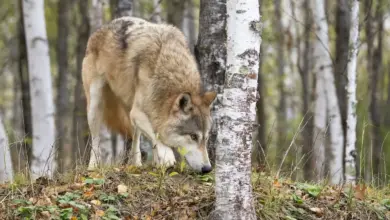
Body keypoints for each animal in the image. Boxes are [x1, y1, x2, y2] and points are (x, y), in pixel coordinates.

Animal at [82, 16, 216, 174]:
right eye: (193, 136)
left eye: (206, 138)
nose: (208, 168)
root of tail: (103, 28)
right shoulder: (137, 113)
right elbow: (156, 134)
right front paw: (167, 156)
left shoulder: (142, 113)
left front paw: (160, 162)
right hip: (95, 105)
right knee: (95, 140)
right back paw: (93, 166)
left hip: (128, 111)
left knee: (135, 138)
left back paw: (136, 164)